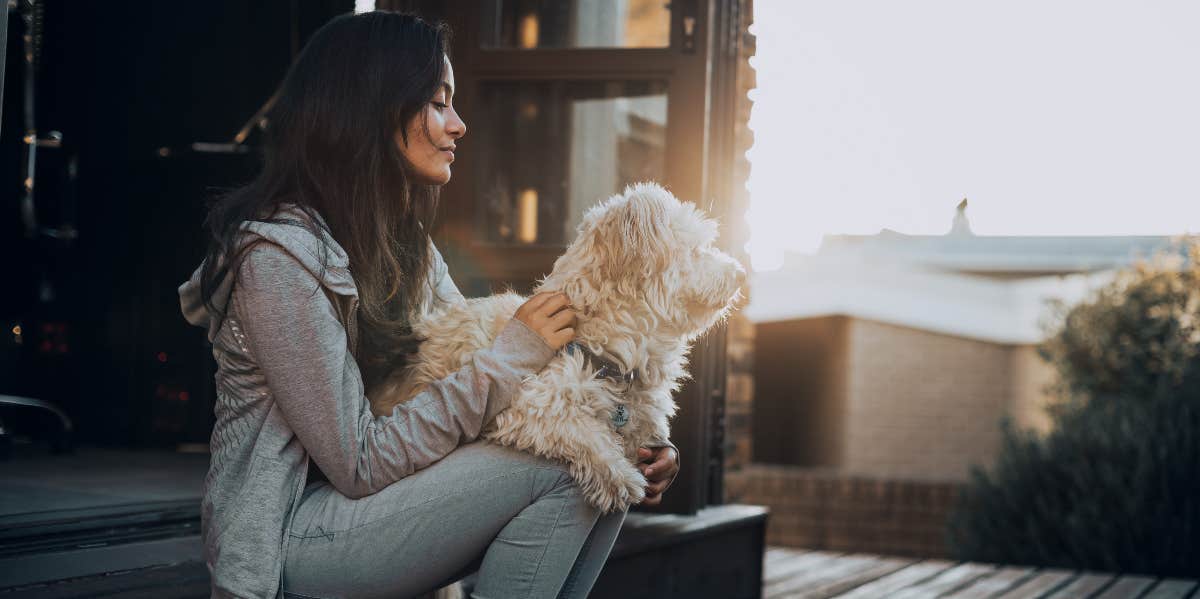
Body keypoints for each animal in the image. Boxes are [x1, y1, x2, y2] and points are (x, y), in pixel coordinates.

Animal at [369, 181, 744, 511]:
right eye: (697, 250)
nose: (741, 274)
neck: (603, 349)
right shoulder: (524, 404)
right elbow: (580, 429)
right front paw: (619, 475)